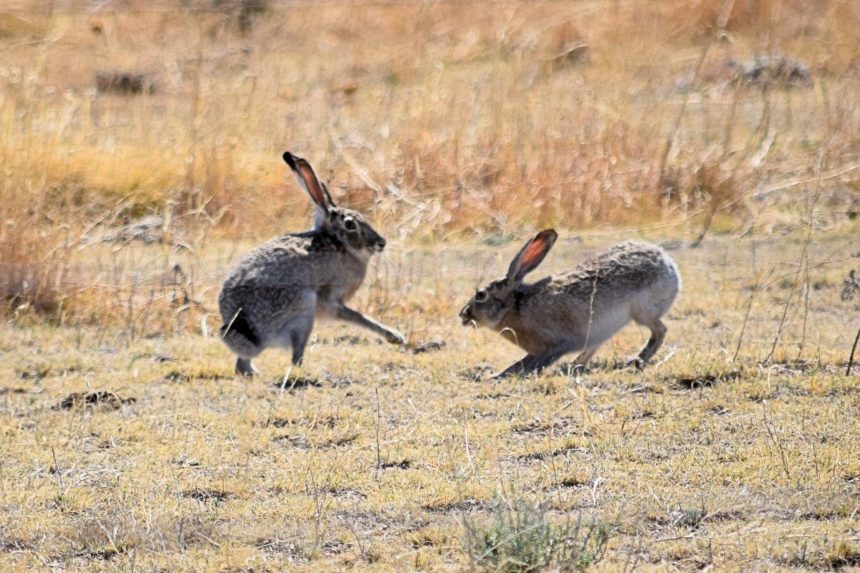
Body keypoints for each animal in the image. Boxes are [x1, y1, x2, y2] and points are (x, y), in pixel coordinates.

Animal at [218, 152, 405, 376]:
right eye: (350, 224)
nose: (381, 243)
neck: (338, 243)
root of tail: (242, 323)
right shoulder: (329, 300)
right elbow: (357, 316)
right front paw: (394, 336)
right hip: (304, 307)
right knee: (294, 355)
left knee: (242, 364)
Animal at [459, 229, 680, 379]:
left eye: (480, 295)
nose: (463, 315)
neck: (515, 307)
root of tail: (668, 263)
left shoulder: (552, 345)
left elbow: (525, 363)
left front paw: (496, 376)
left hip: (642, 312)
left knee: (660, 330)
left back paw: (636, 359)